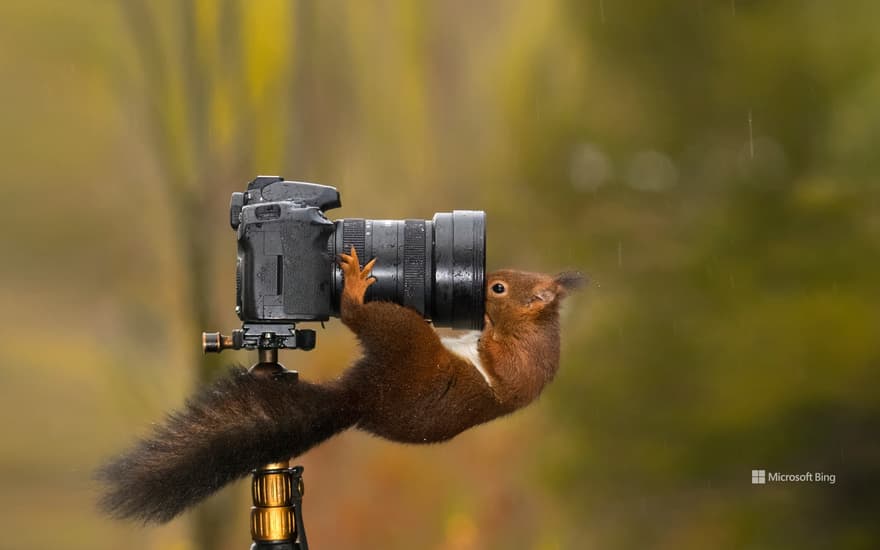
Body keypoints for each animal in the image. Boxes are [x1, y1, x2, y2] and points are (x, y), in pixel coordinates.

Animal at [98, 250, 584, 528]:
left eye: (499, 288)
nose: (479, 286)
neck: (537, 327)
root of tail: (360, 396)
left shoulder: (524, 362)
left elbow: (501, 363)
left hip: (404, 337)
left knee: (359, 314)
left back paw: (352, 287)